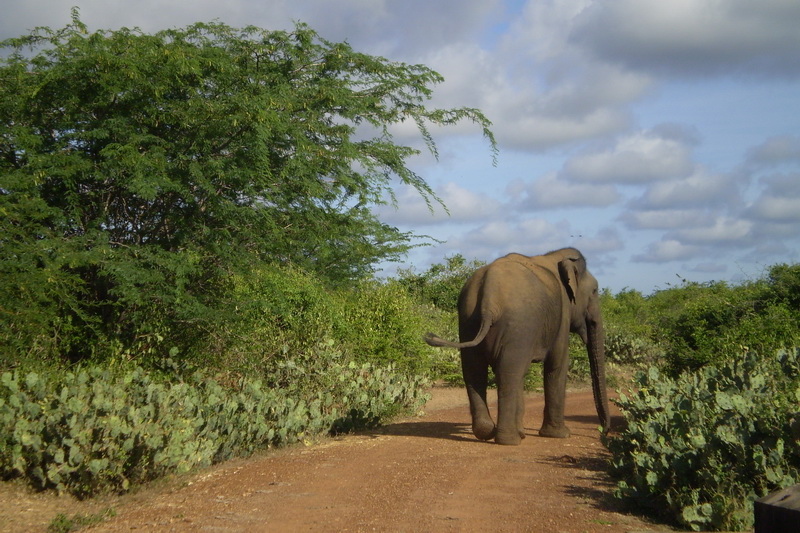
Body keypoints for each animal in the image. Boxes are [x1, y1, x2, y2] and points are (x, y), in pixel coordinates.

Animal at [428, 247, 608, 442]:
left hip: (468, 319)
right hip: (518, 322)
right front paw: (561, 435)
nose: (603, 432)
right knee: (508, 373)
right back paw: (509, 441)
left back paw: (487, 432)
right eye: (595, 291)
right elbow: (557, 365)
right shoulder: (562, 315)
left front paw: (524, 433)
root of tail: (489, 299)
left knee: (475, 371)